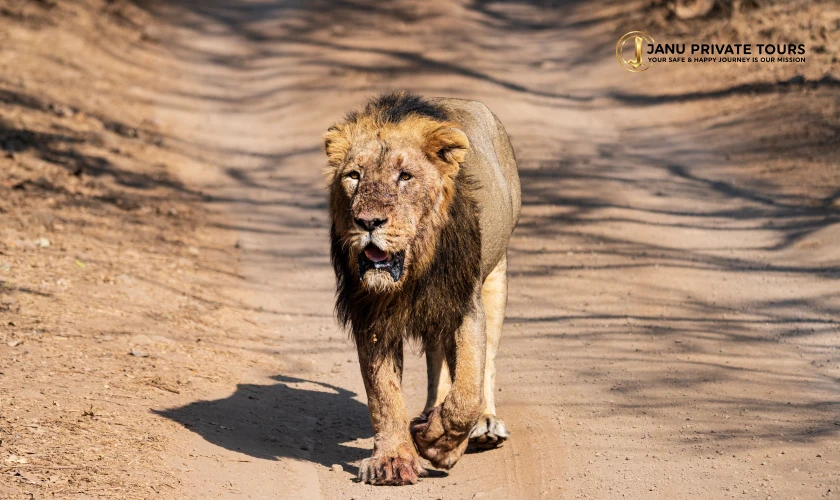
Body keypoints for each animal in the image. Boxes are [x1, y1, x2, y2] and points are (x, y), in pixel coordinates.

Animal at [324, 91, 521, 486]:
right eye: (354, 176)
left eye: (405, 176)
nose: (368, 221)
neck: (414, 269)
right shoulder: (371, 314)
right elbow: (383, 395)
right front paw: (392, 460)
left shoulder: (464, 301)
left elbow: (467, 391)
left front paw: (440, 445)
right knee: (436, 361)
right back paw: (430, 413)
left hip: (496, 276)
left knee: (487, 360)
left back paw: (485, 425)